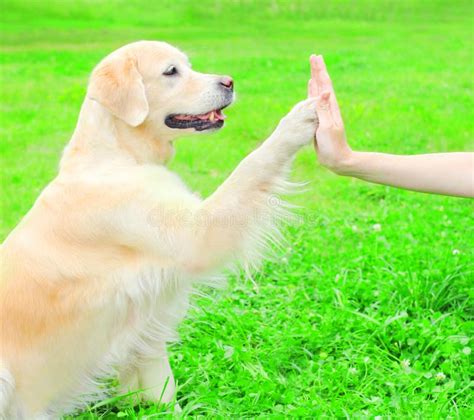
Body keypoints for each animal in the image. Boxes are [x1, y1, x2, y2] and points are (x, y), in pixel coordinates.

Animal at [0, 40, 318, 416]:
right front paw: (297, 120)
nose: (229, 82)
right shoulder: (197, 235)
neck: (118, 155)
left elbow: (160, 386)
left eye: (188, 65)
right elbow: (252, 165)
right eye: (171, 71)